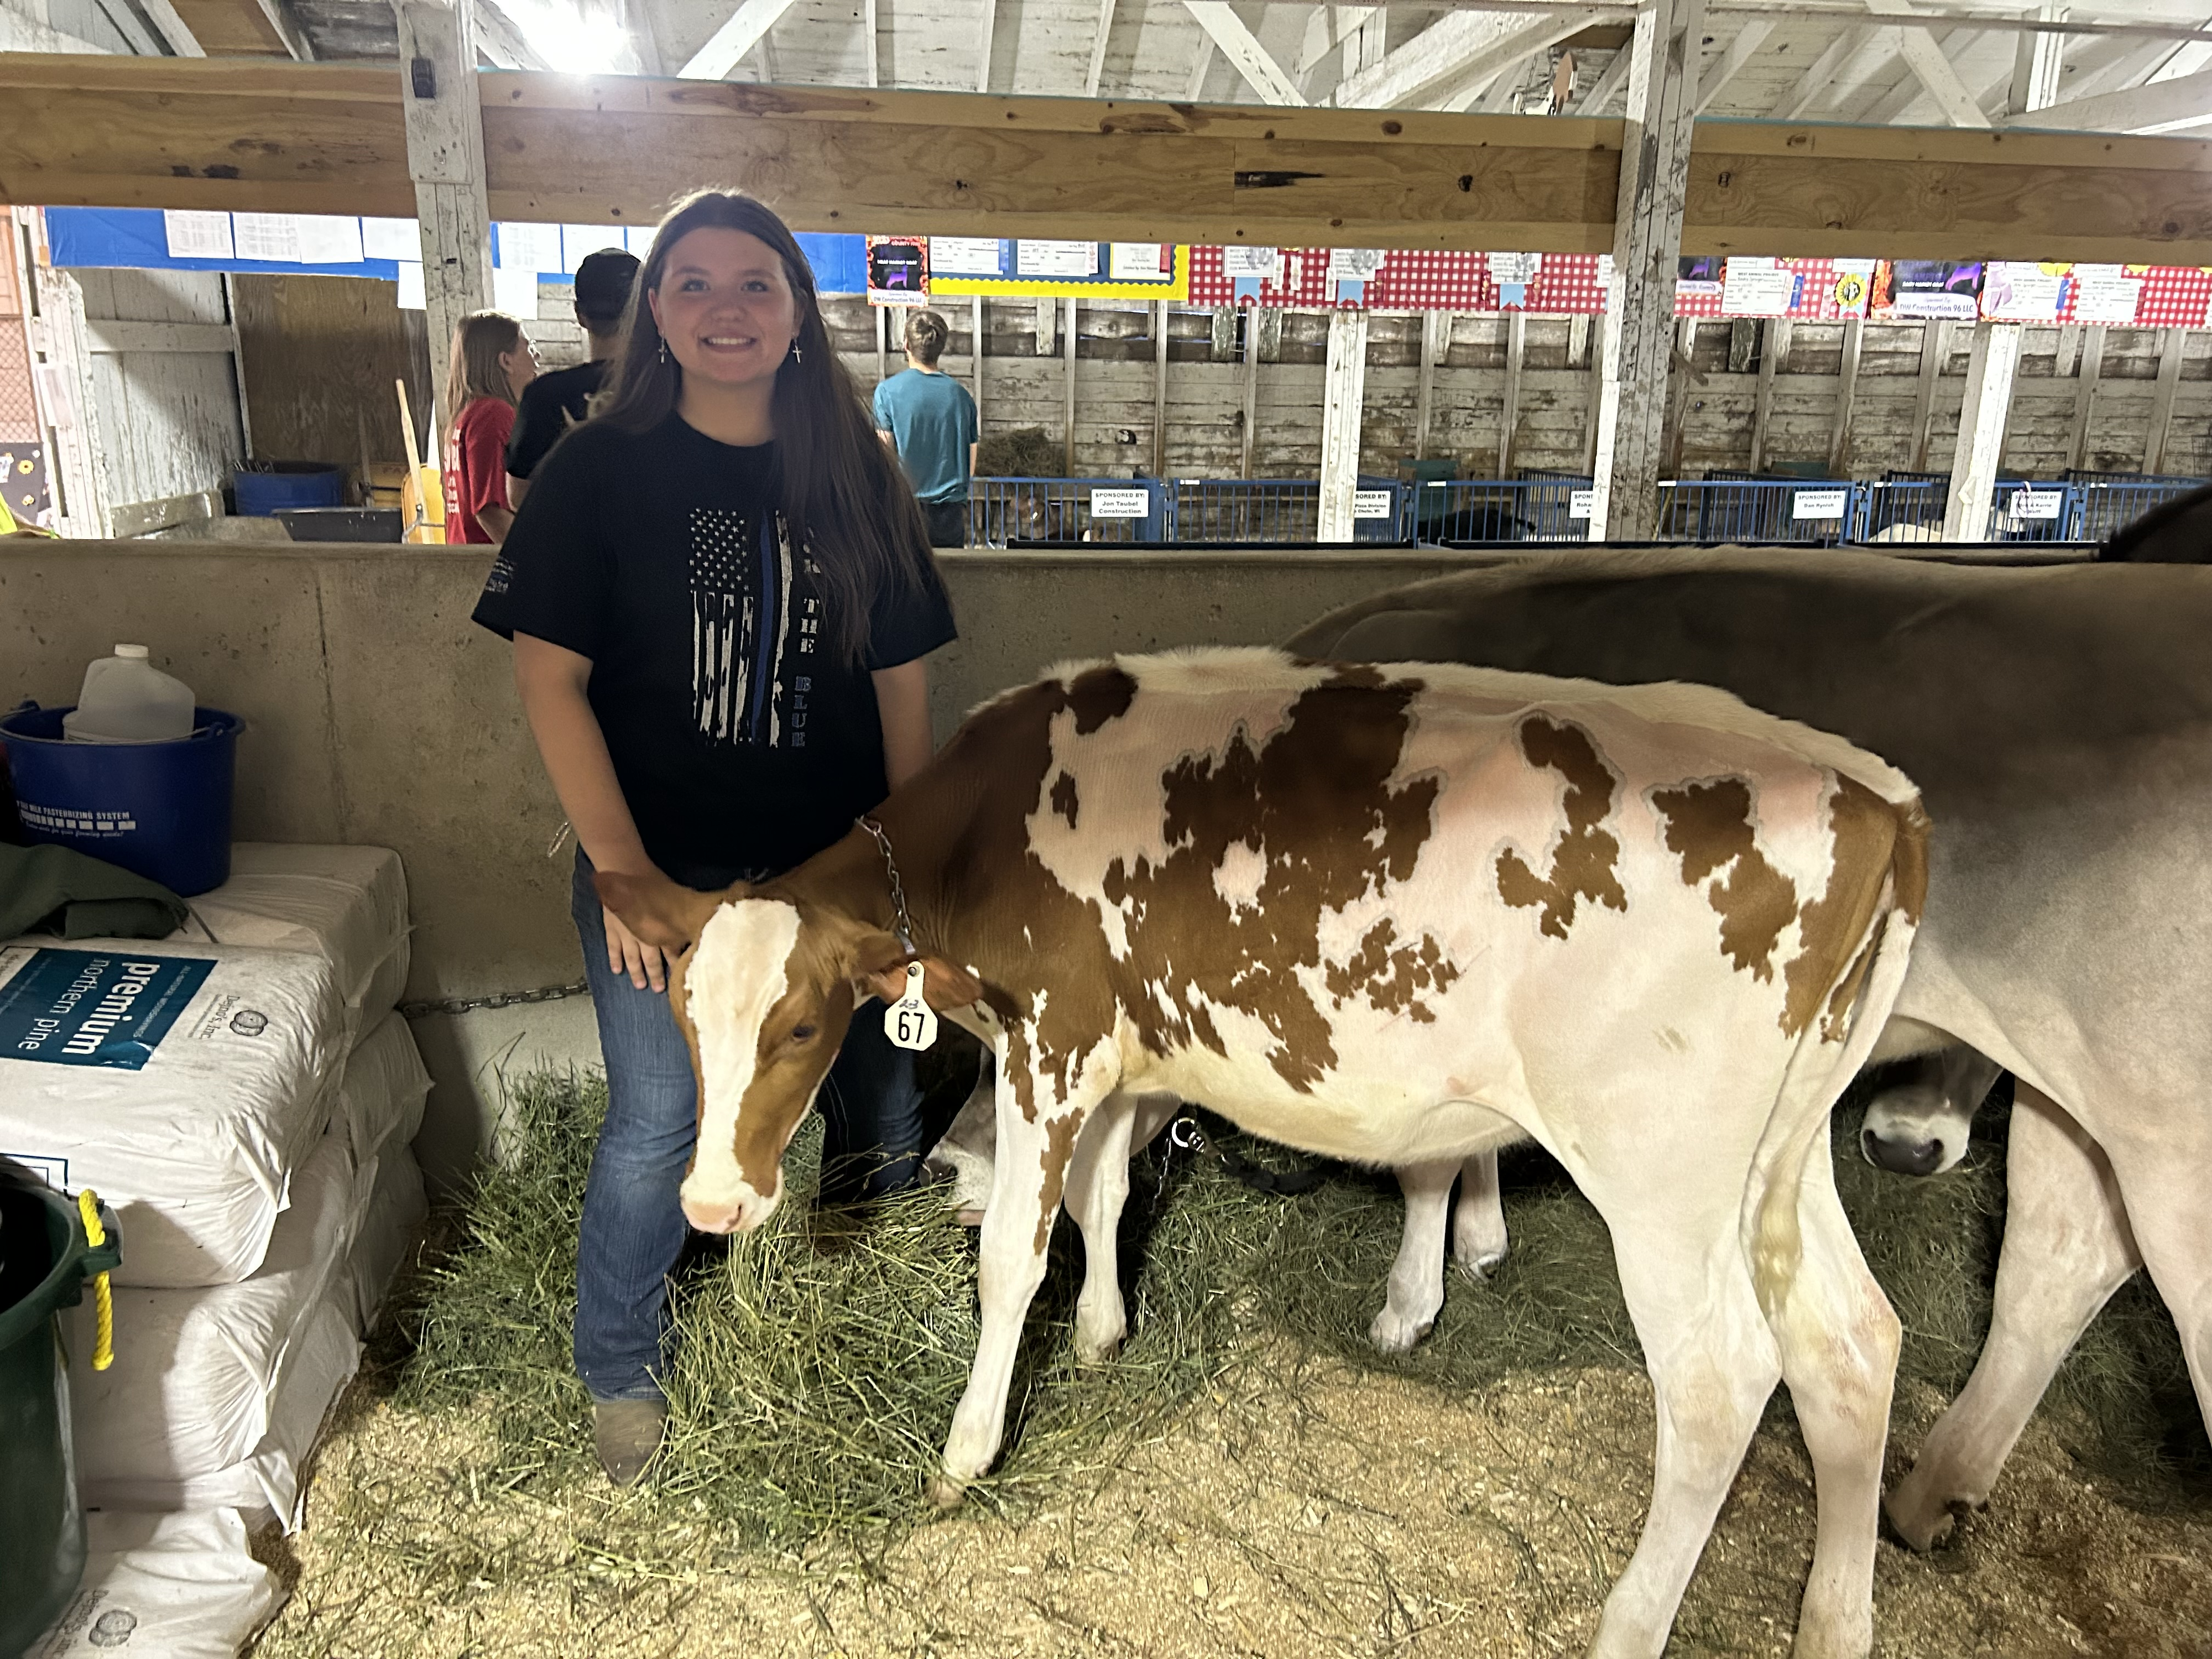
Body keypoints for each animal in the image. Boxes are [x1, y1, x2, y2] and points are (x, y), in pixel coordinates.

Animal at [602, 655, 1920, 1659]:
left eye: (801, 1027)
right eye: (682, 1013)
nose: (713, 1203)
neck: (991, 824)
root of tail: (1872, 793)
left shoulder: (1052, 1043)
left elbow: (1013, 1259)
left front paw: (964, 1454)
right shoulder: (1129, 1052)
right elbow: (1106, 1197)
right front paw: (1102, 1335)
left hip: (1659, 1166)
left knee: (1719, 1384)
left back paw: (1628, 1626)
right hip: (1777, 1159)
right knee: (1850, 1344)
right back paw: (1833, 1623)